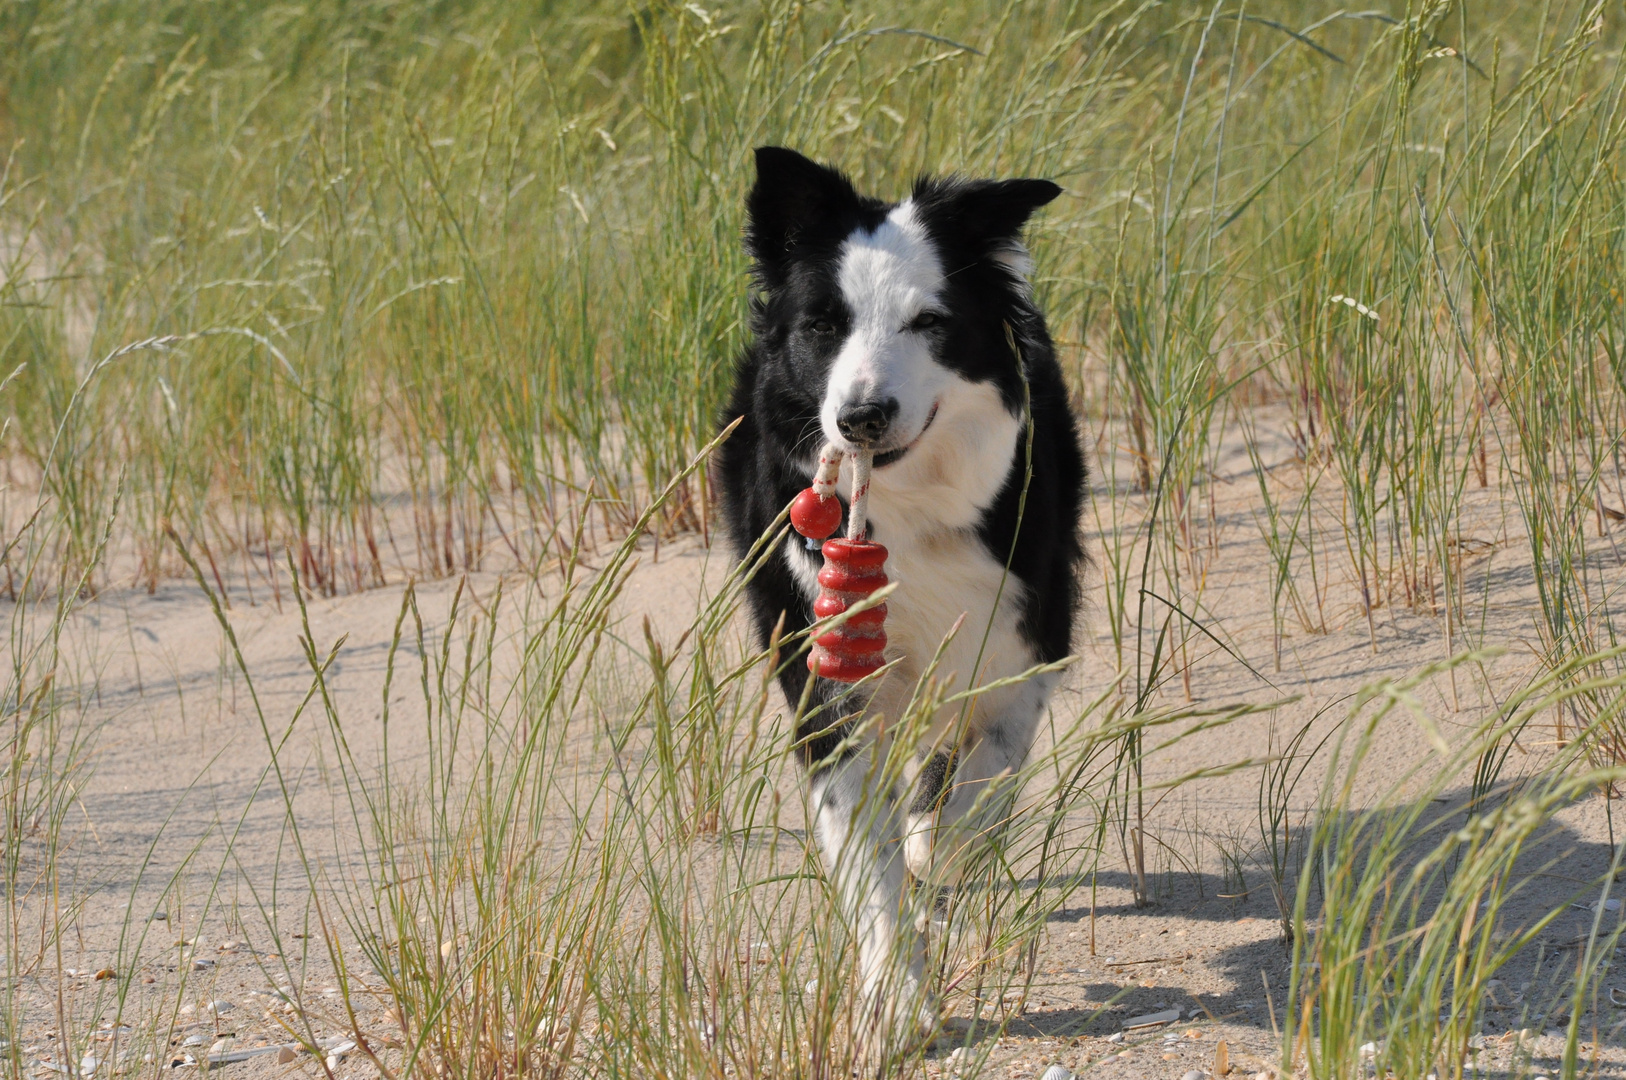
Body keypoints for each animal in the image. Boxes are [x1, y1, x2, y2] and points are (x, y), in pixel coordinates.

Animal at [718, 148, 1086, 1034]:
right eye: (825, 325)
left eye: (929, 322)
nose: (862, 417)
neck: (907, 510)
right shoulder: (827, 676)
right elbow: (869, 851)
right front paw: (895, 997)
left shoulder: (1021, 648)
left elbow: (970, 795)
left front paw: (932, 848)